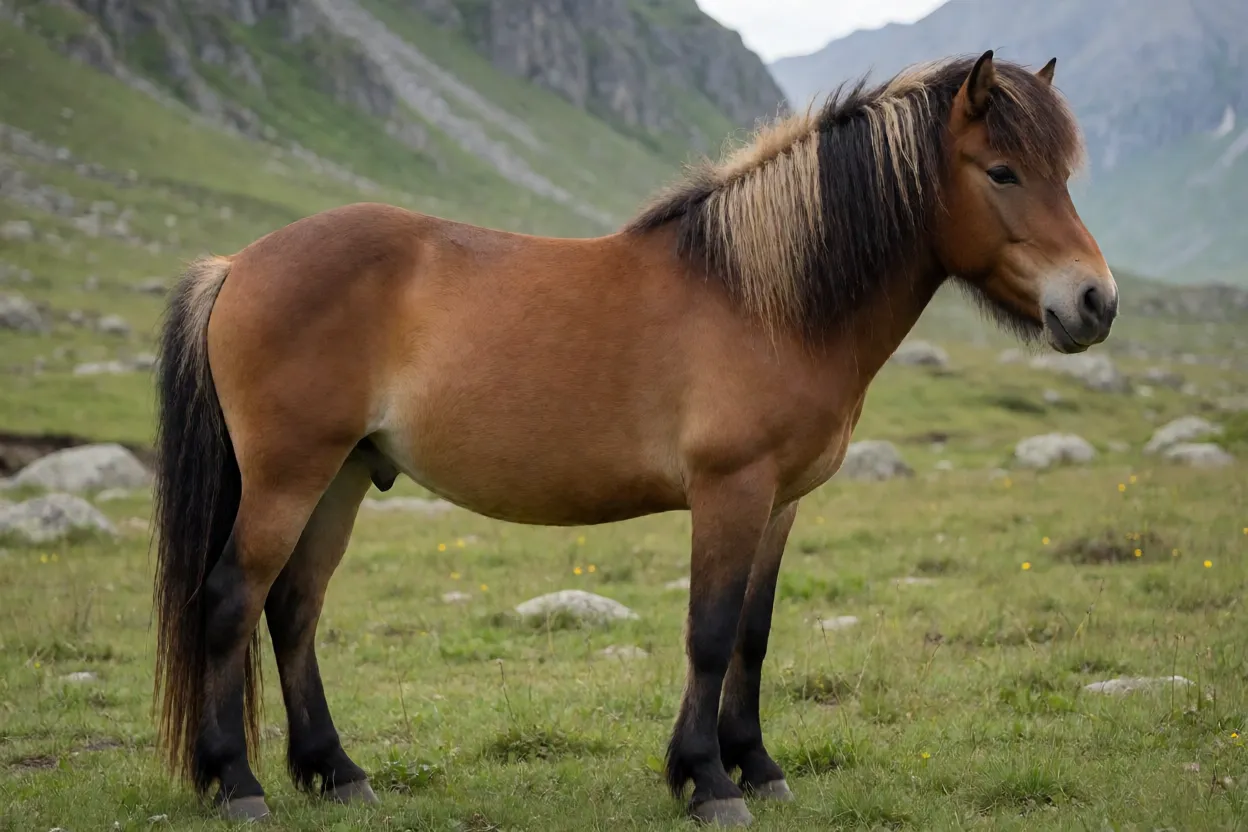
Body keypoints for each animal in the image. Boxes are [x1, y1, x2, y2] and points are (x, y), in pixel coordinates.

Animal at [151, 50, 1116, 826]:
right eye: (1002, 171)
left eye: (1063, 172)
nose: (1095, 302)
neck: (763, 298)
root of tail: (236, 265)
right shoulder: (730, 490)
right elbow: (710, 631)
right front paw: (707, 781)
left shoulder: (780, 503)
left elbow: (755, 632)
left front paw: (756, 765)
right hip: (289, 475)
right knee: (232, 598)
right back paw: (239, 785)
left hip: (344, 476)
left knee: (293, 608)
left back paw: (338, 772)